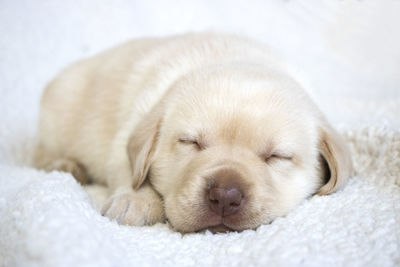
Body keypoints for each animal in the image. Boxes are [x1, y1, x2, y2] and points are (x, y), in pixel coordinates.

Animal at [35, 33, 354, 234]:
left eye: (277, 157)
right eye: (191, 143)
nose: (225, 195)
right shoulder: (128, 132)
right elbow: (129, 171)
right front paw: (136, 201)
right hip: (54, 117)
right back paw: (66, 165)